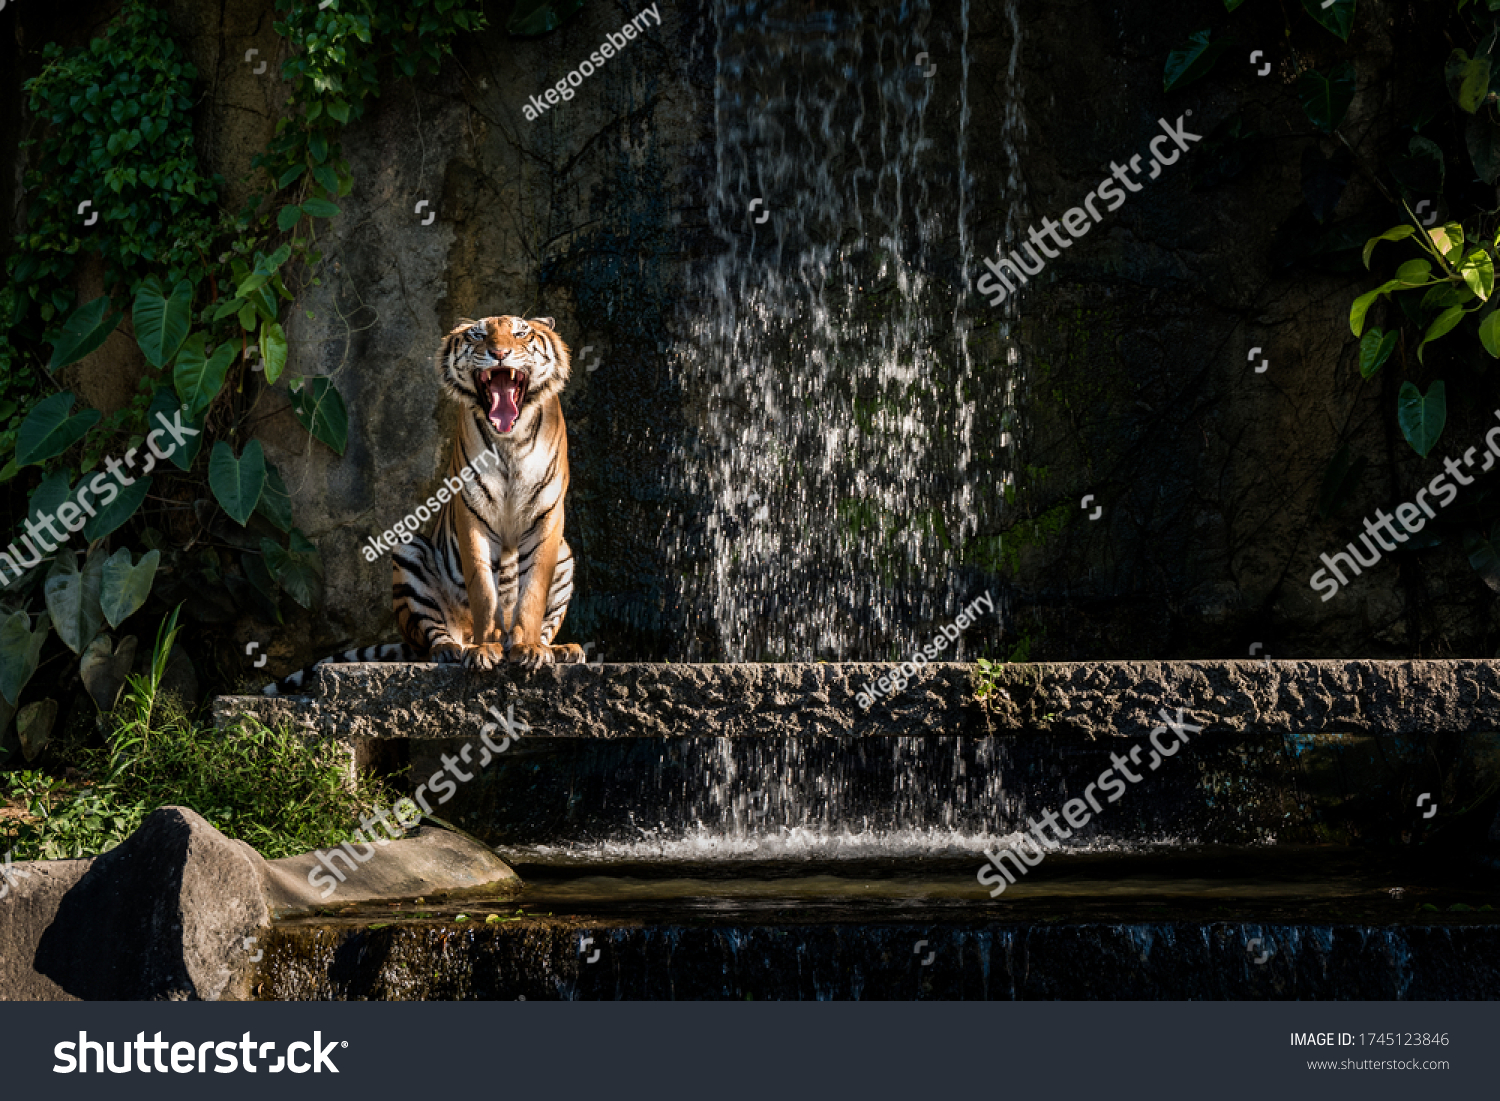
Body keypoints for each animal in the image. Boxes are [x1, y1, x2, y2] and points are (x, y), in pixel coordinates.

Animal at [264, 315, 579, 693]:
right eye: (478, 334)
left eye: (521, 333)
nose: (499, 353)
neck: (510, 440)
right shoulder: (472, 514)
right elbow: (483, 590)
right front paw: (484, 650)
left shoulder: (546, 516)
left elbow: (532, 592)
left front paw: (530, 648)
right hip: (408, 552)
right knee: (433, 637)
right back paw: (456, 649)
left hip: (565, 556)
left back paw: (561, 650)